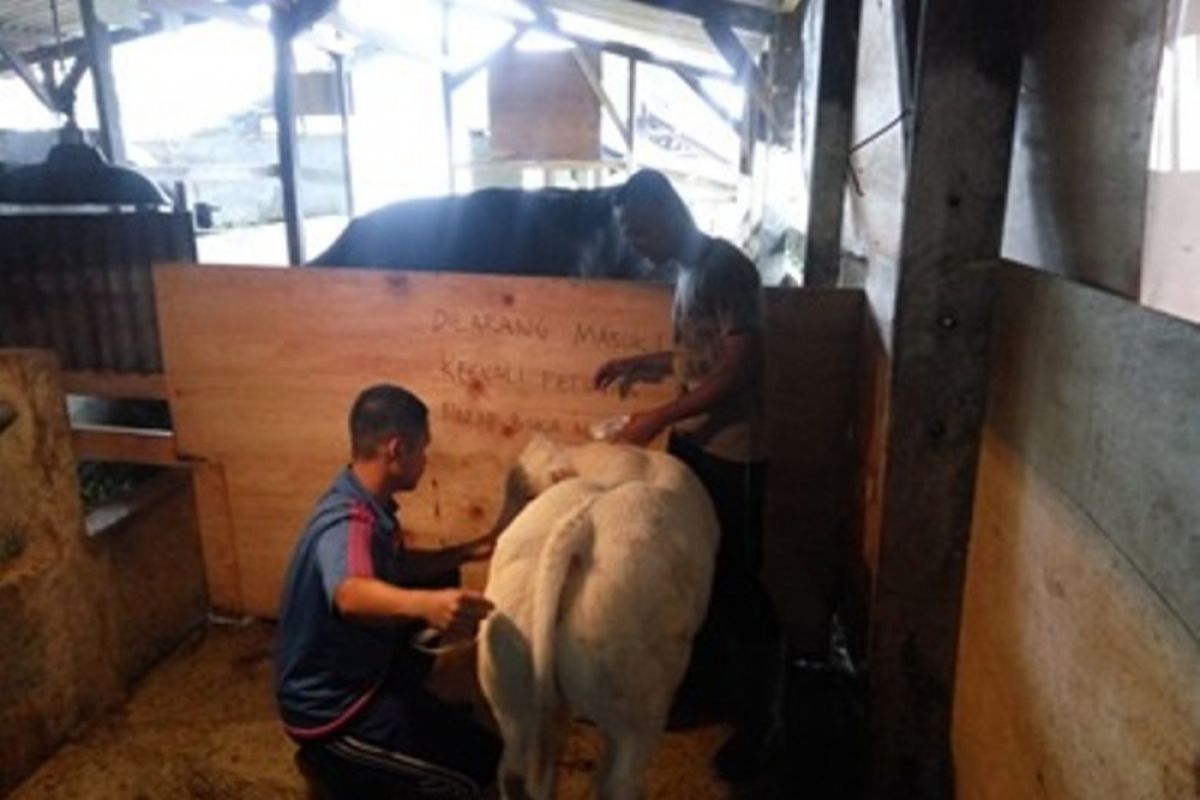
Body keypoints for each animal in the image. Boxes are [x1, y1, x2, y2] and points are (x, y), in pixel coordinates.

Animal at [477, 438, 720, 800]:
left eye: (526, 494)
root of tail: (581, 522)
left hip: (512, 691)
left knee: (513, 771)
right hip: (636, 702)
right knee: (618, 782)